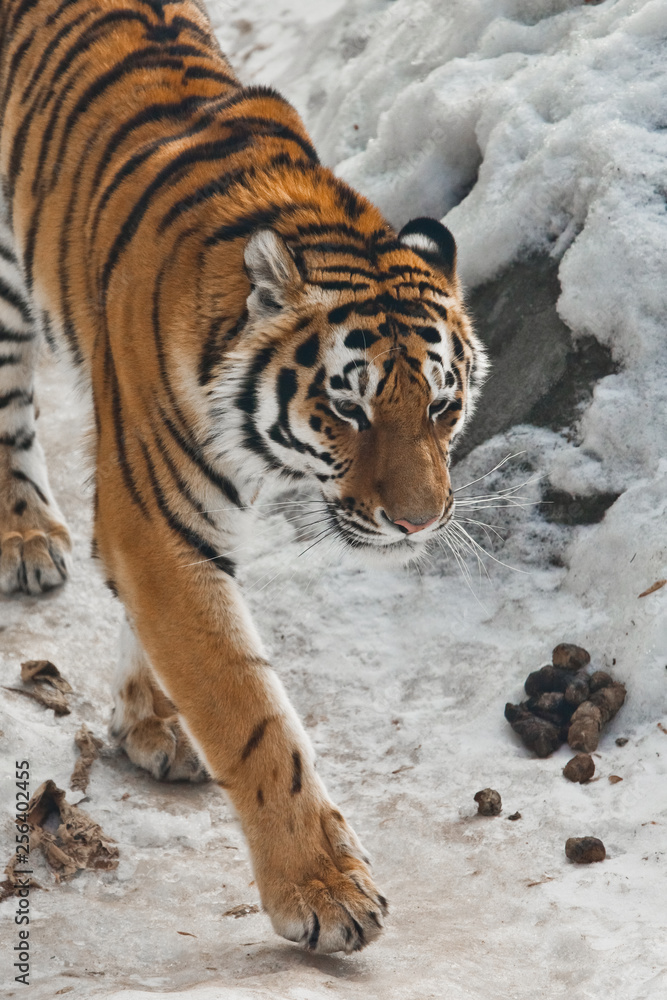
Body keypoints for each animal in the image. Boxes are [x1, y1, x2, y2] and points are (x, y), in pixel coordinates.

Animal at [0, 0, 488, 954]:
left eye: (443, 408)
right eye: (349, 409)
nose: (419, 523)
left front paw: (151, 720)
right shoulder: (156, 518)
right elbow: (251, 710)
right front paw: (328, 892)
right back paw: (25, 534)